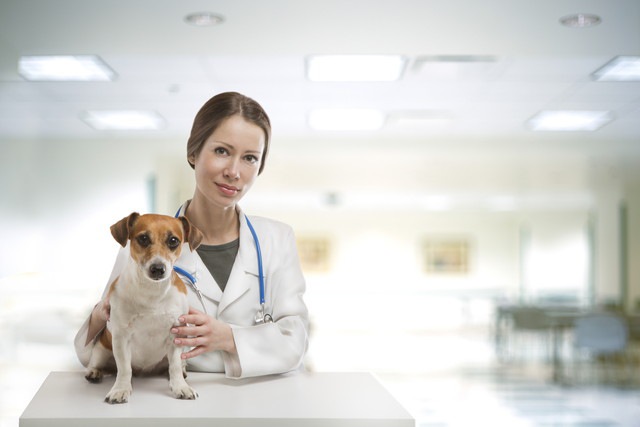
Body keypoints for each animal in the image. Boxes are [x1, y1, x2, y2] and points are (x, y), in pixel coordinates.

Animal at [84, 213, 201, 404]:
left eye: (173, 241)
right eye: (143, 238)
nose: (158, 269)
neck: (152, 292)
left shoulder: (177, 334)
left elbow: (175, 366)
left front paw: (180, 387)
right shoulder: (121, 337)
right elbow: (124, 368)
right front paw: (121, 389)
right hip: (101, 348)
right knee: (100, 364)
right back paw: (94, 372)